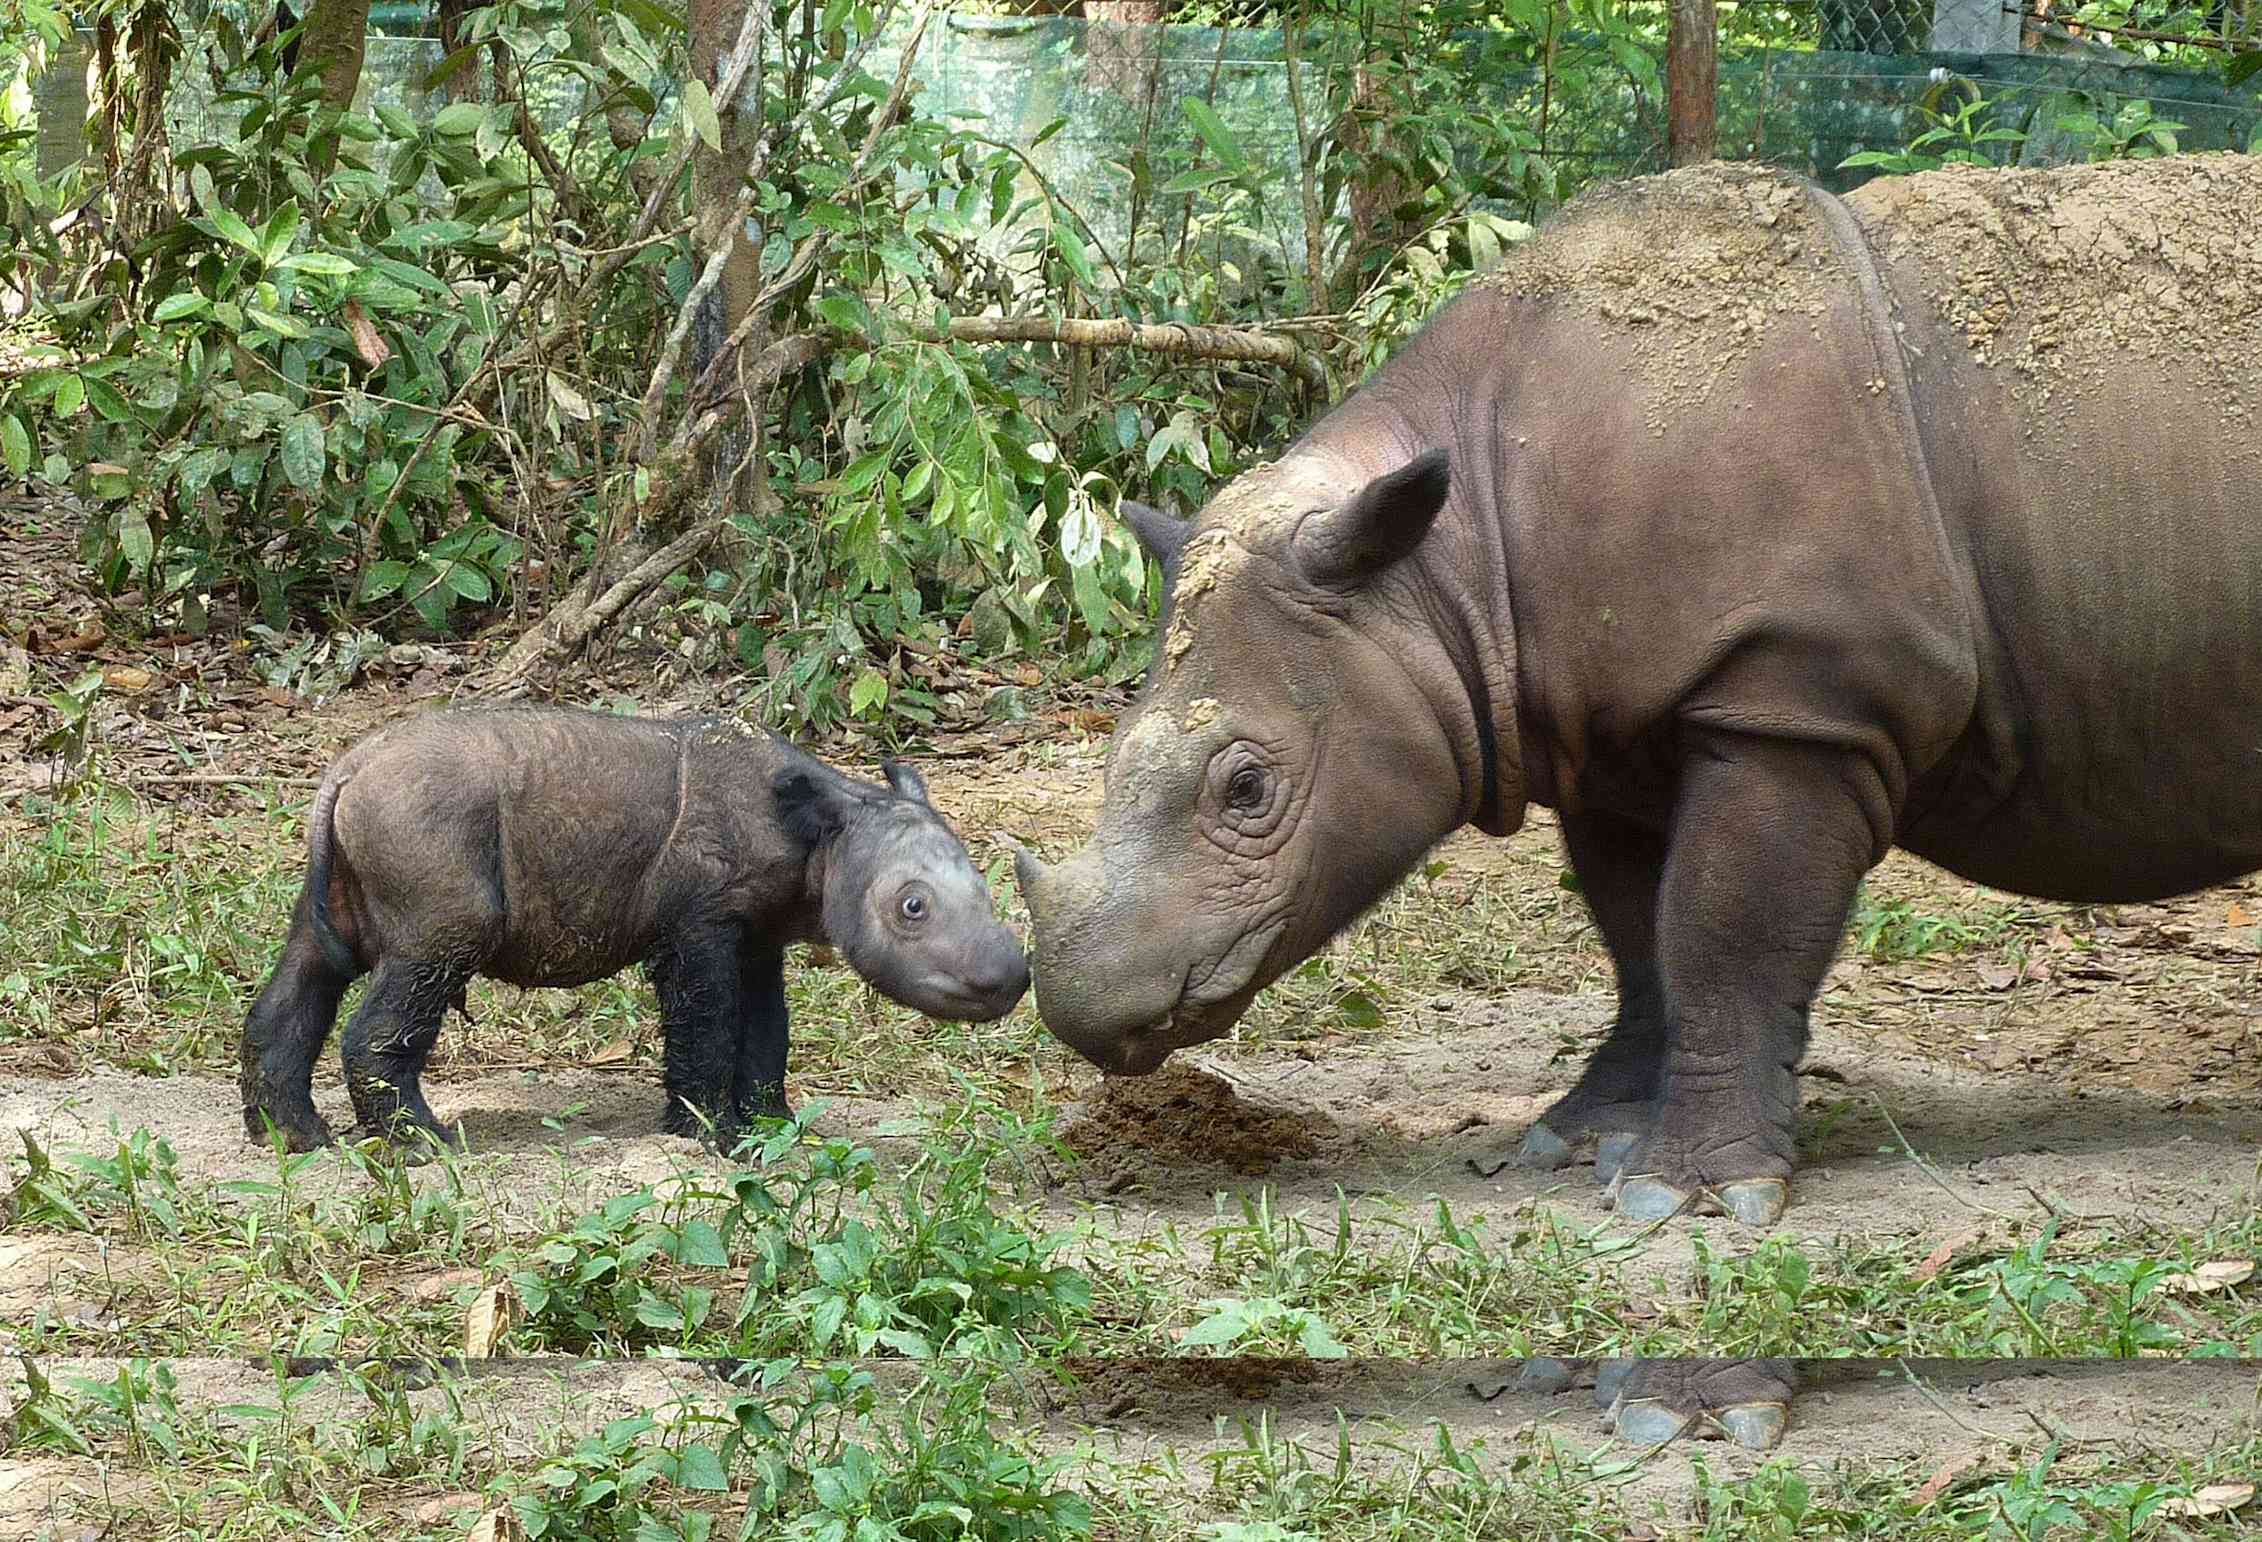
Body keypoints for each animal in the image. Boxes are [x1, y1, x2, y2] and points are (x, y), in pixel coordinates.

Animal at [242, 705, 1028, 1152]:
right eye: (912, 908)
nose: (1011, 979)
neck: (824, 835)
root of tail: (344, 772)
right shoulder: (699, 925)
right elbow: (708, 1024)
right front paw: (715, 1140)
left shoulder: (756, 934)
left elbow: (766, 1030)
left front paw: (776, 1128)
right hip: (424, 832)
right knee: (427, 959)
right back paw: (424, 1145)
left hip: (356, 846)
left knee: (310, 967)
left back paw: (293, 1140)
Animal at [1018, 155, 2262, 1234]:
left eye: (1246, 788)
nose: (1080, 1009)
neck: (1445, 570)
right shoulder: (1606, 724)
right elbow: (1638, 931)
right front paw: (1581, 1138)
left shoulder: (1797, 698)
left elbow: (1723, 927)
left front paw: (1692, 1196)